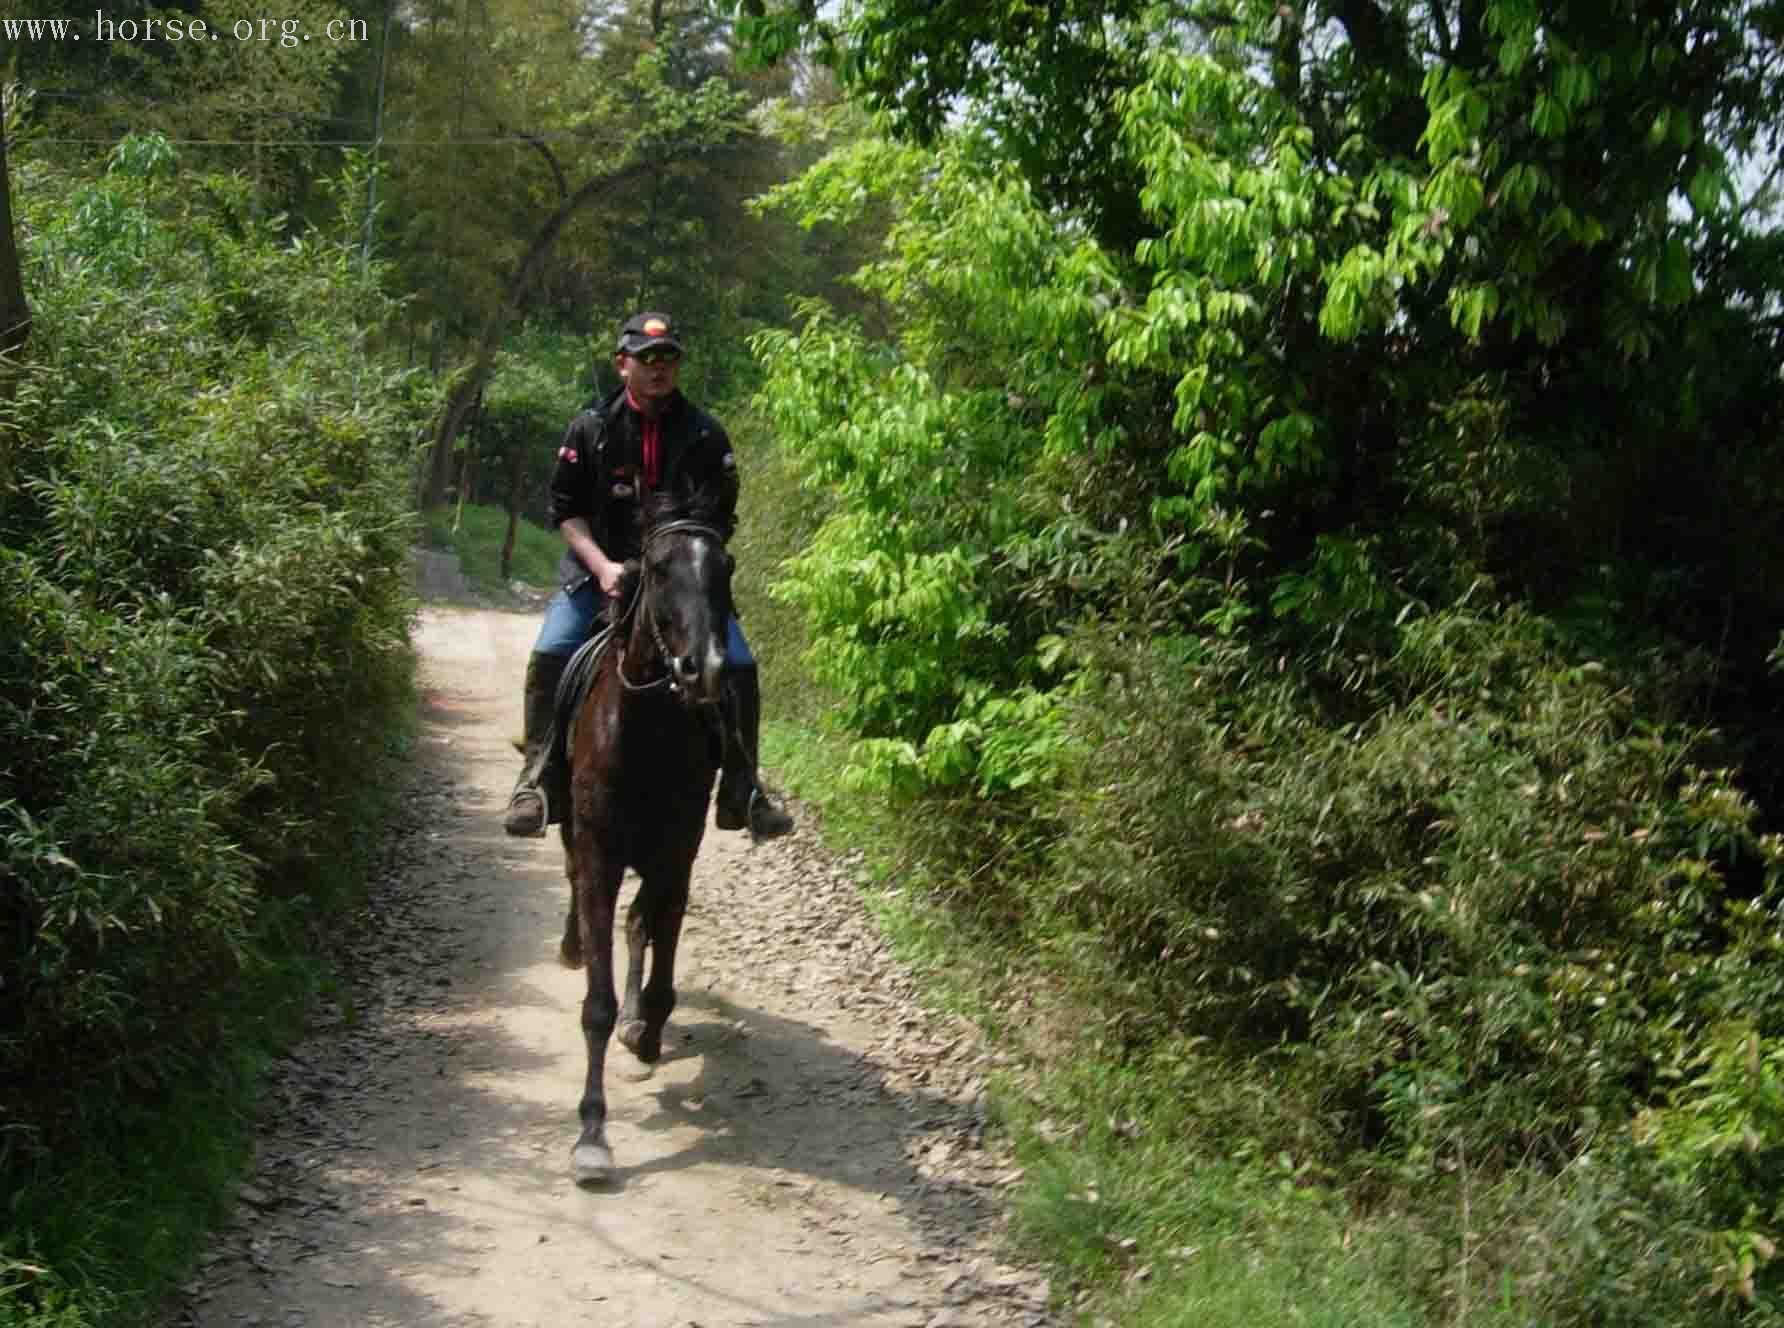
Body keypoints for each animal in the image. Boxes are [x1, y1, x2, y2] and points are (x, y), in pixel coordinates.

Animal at [549, 478, 731, 1185]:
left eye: (725, 567)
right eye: (656, 569)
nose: (707, 668)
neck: (646, 732)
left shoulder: (677, 852)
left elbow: (656, 949)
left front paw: (644, 1029)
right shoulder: (600, 849)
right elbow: (595, 1004)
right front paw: (592, 1135)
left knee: (638, 924)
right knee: (577, 888)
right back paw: (572, 944)